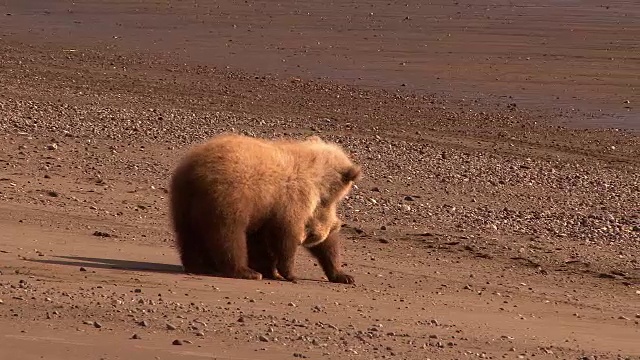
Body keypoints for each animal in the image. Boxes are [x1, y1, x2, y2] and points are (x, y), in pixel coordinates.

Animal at [169, 133, 360, 284]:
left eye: (312, 236)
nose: (302, 240)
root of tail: (195, 171)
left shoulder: (267, 210)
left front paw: (343, 275)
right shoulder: (292, 199)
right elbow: (285, 235)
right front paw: (288, 273)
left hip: (184, 200)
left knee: (189, 234)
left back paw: (198, 266)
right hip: (229, 196)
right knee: (229, 235)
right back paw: (245, 271)